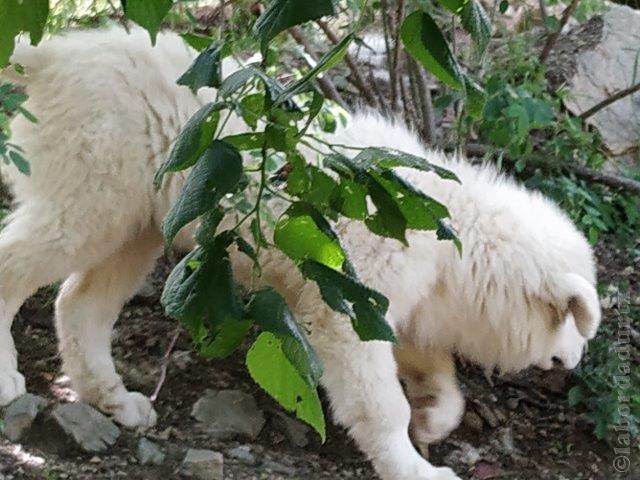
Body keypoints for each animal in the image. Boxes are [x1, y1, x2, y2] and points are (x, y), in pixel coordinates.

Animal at [0, 27, 600, 480]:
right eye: (573, 322)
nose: (574, 363)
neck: (452, 237)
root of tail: (53, 57)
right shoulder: (347, 315)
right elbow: (382, 405)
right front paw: (414, 469)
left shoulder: (391, 310)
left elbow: (439, 376)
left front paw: (433, 421)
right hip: (85, 210)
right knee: (15, 267)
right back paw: (10, 377)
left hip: (135, 226)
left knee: (76, 305)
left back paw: (113, 400)